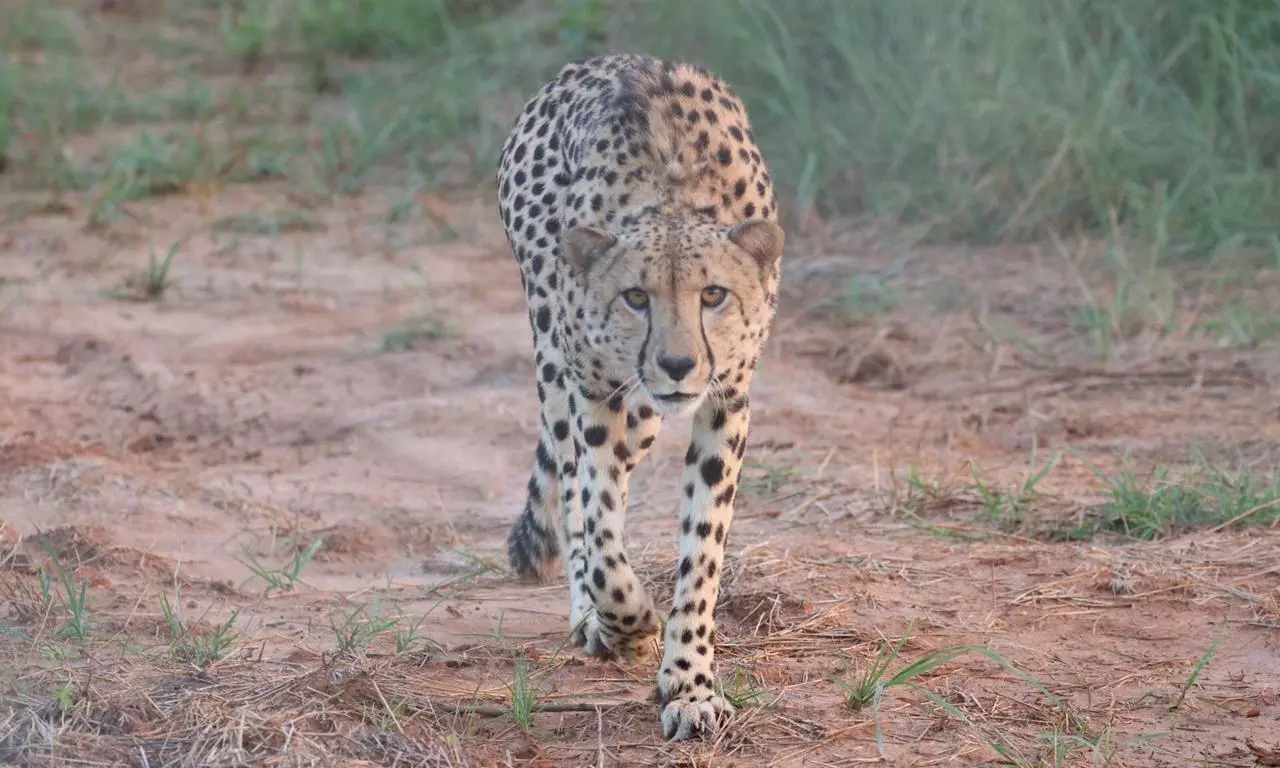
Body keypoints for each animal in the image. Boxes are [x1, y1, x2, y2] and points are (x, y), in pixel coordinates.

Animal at [494, 52, 783, 737]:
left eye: (713, 295)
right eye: (635, 297)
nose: (677, 363)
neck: (672, 197)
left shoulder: (726, 403)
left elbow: (702, 548)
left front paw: (691, 682)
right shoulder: (594, 393)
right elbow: (597, 525)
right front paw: (628, 622)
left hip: (646, 411)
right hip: (558, 362)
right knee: (575, 486)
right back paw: (590, 617)